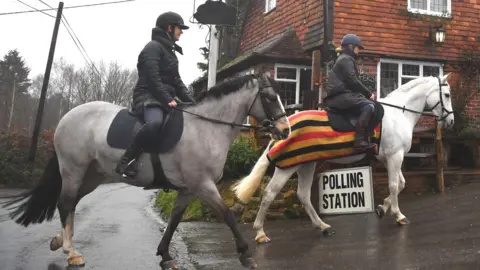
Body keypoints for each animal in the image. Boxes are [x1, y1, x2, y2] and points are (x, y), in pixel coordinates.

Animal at [2, 74, 288, 270]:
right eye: (270, 97)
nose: (284, 130)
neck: (205, 128)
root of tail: (66, 117)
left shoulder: (188, 189)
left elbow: (174, 220)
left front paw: (166, 256)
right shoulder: (203, 185)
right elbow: (227, 215)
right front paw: (246, 254)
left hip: (92, 176)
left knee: (70, 203)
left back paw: (59, 241)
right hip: (73, 169)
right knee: (65, 203)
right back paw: (72, 253)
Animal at [232, 74, 454, 243]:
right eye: (447, 94)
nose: (451, 121)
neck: (399, 113)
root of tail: (284, 127)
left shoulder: (390, 157)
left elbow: (401, 183)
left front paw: (382, 208)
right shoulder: (394, 156)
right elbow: (393, 185)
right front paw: (399, 216)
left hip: (307, 164)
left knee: (303, 194)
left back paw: (322, 226)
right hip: (288, 167)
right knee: (270, 193)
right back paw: (260, 233)